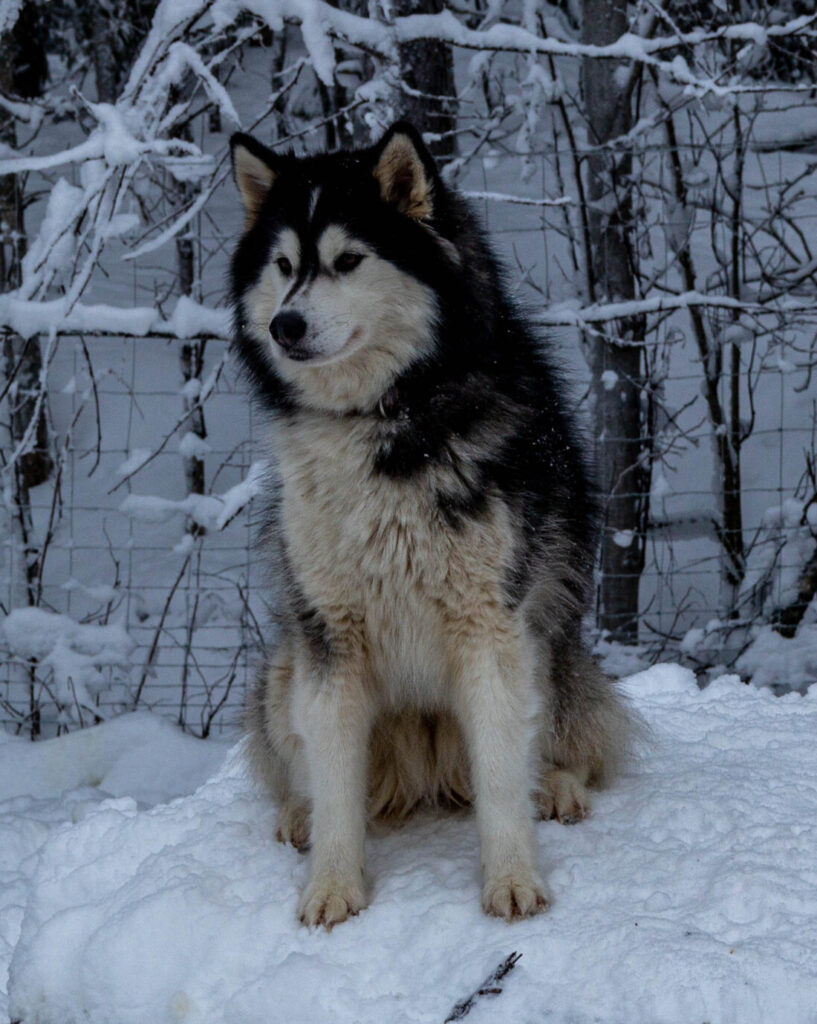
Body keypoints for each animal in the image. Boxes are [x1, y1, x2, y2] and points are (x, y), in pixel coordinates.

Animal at [228, 122, 632, 928]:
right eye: (283, 266)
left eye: (348, 260)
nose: (285, 324)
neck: (383, 419)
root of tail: (427, 776)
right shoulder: (330, 636)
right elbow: (336, 784)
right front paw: (331, 886)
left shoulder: (490, 626)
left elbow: (503, 779)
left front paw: (511, 879)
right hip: (285, 667)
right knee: (305, 770)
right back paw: (297, 814)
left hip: (552, 653)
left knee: (561, 748)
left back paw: (557, 787)